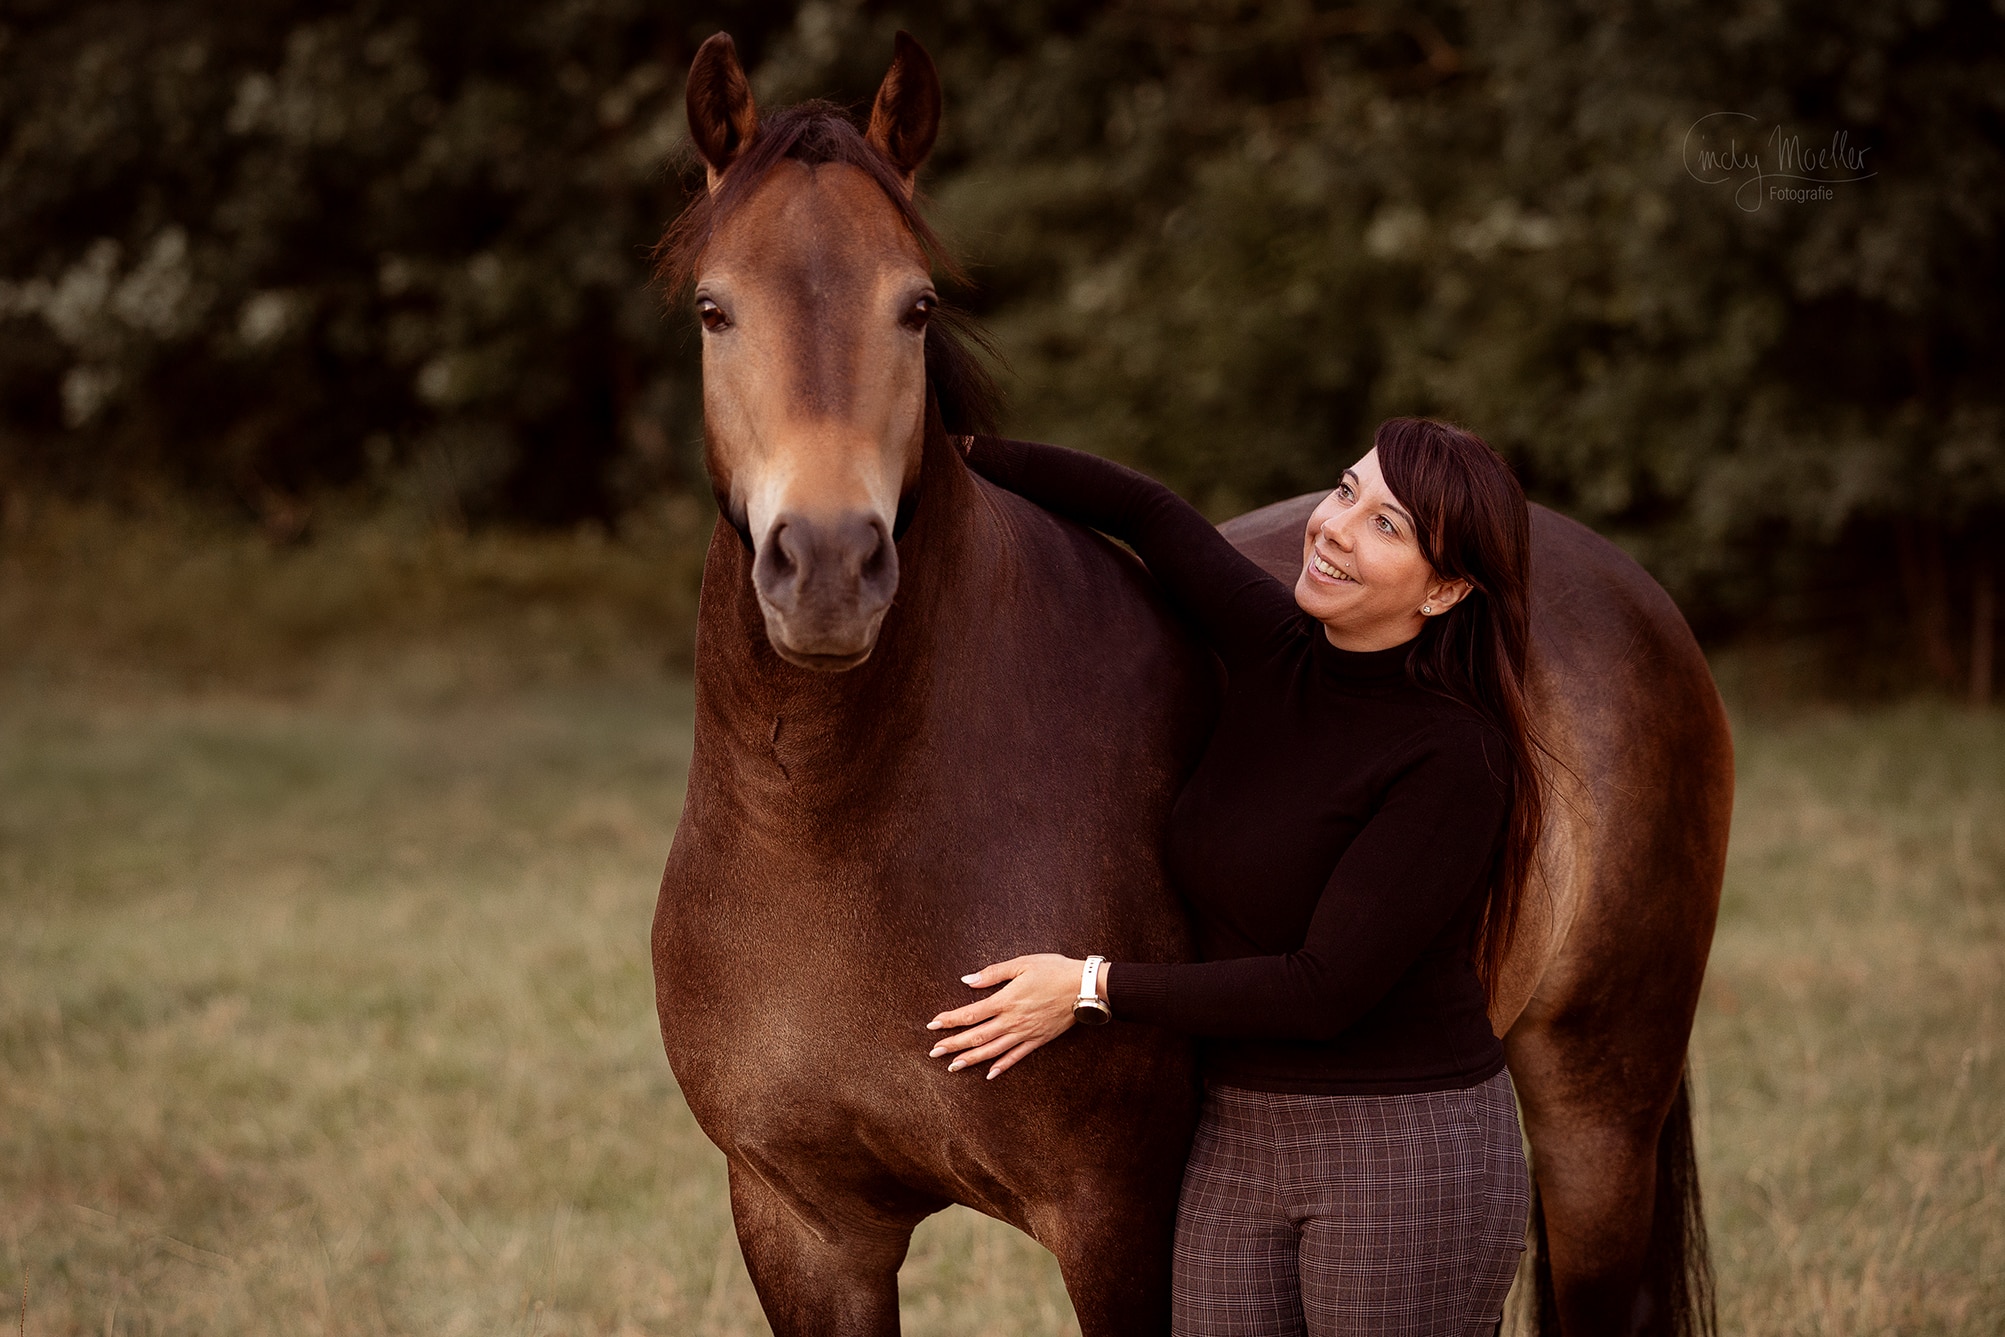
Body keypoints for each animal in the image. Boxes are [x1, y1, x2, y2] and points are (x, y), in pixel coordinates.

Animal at [650, 31, 1732, 1337]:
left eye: (916, 307)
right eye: (714, 309)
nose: (824, 569)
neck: (835, 830)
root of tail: (1614, 578)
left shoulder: (1120, 1217)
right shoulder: (804, 1227)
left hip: (1596, 1110)